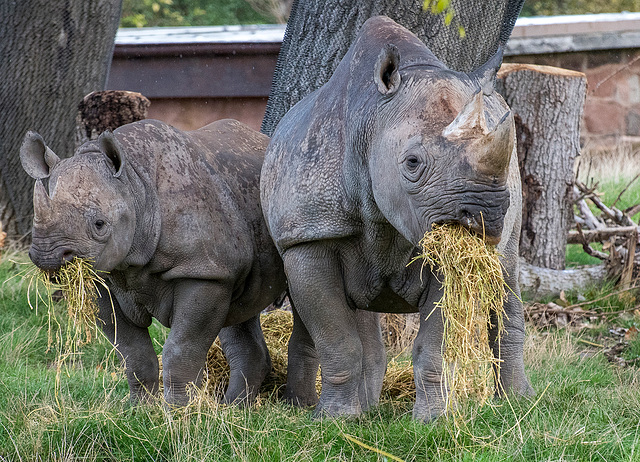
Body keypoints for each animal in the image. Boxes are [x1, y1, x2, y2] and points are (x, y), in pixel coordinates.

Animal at [22, 120, 286, 408]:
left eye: (99, 224)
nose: (47, 258)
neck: (135, 185)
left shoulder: (204, 271)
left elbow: (181, 348)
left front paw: (180, 411)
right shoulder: (102, 277)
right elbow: (131, 351)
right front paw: (140, 409)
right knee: (242, 310)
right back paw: (235, 409)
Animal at [262, 16, 536, 420]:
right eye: (412, 163)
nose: (485, 217)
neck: (371, 119)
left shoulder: (442, 243)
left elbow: (433, 345)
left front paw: (433, 420)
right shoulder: (308, 234)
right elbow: (337, 339)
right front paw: (335, 419)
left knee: (505, 270)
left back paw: (518, 402)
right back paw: (364, 408)